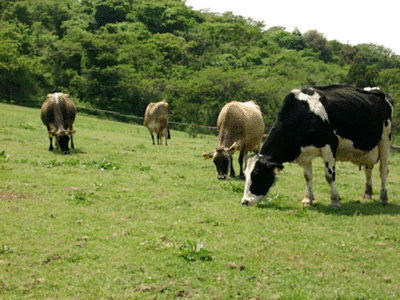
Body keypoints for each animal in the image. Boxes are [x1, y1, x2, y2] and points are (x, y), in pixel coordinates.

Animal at [241, 84, 394, 206]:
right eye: (246, 175)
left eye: (257, 175)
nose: (245, 201)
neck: (305, 114)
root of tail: (378, 91)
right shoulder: (304, 153)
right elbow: (307, 176)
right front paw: (308, 199)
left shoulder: (330, 145)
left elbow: (329, 175)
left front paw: (335, 200)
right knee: (368, 169)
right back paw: (367, 194)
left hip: (385, 139)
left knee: (383, 170)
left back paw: (383, 197)